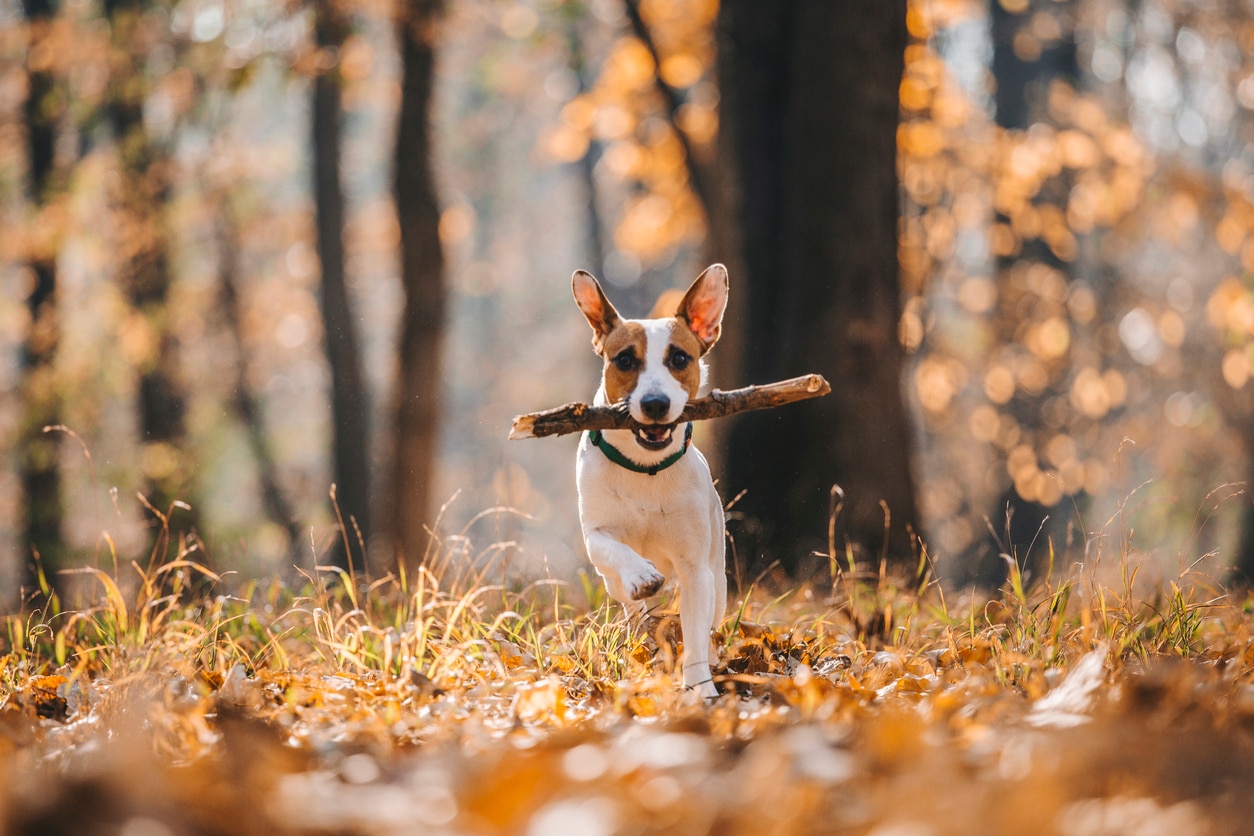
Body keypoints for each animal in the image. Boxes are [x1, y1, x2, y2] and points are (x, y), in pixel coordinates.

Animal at [574, 261, 732, 701]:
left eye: (679, 357)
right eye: (625, 360)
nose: (656, 404)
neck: (646, 467)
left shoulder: (695, 568)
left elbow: (694, 637)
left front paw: (701, 689)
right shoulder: (595, 533)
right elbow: (612, 548)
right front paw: (641, 575)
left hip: (718, 576)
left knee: (710, 621)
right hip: (612, 586)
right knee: (632, 609)